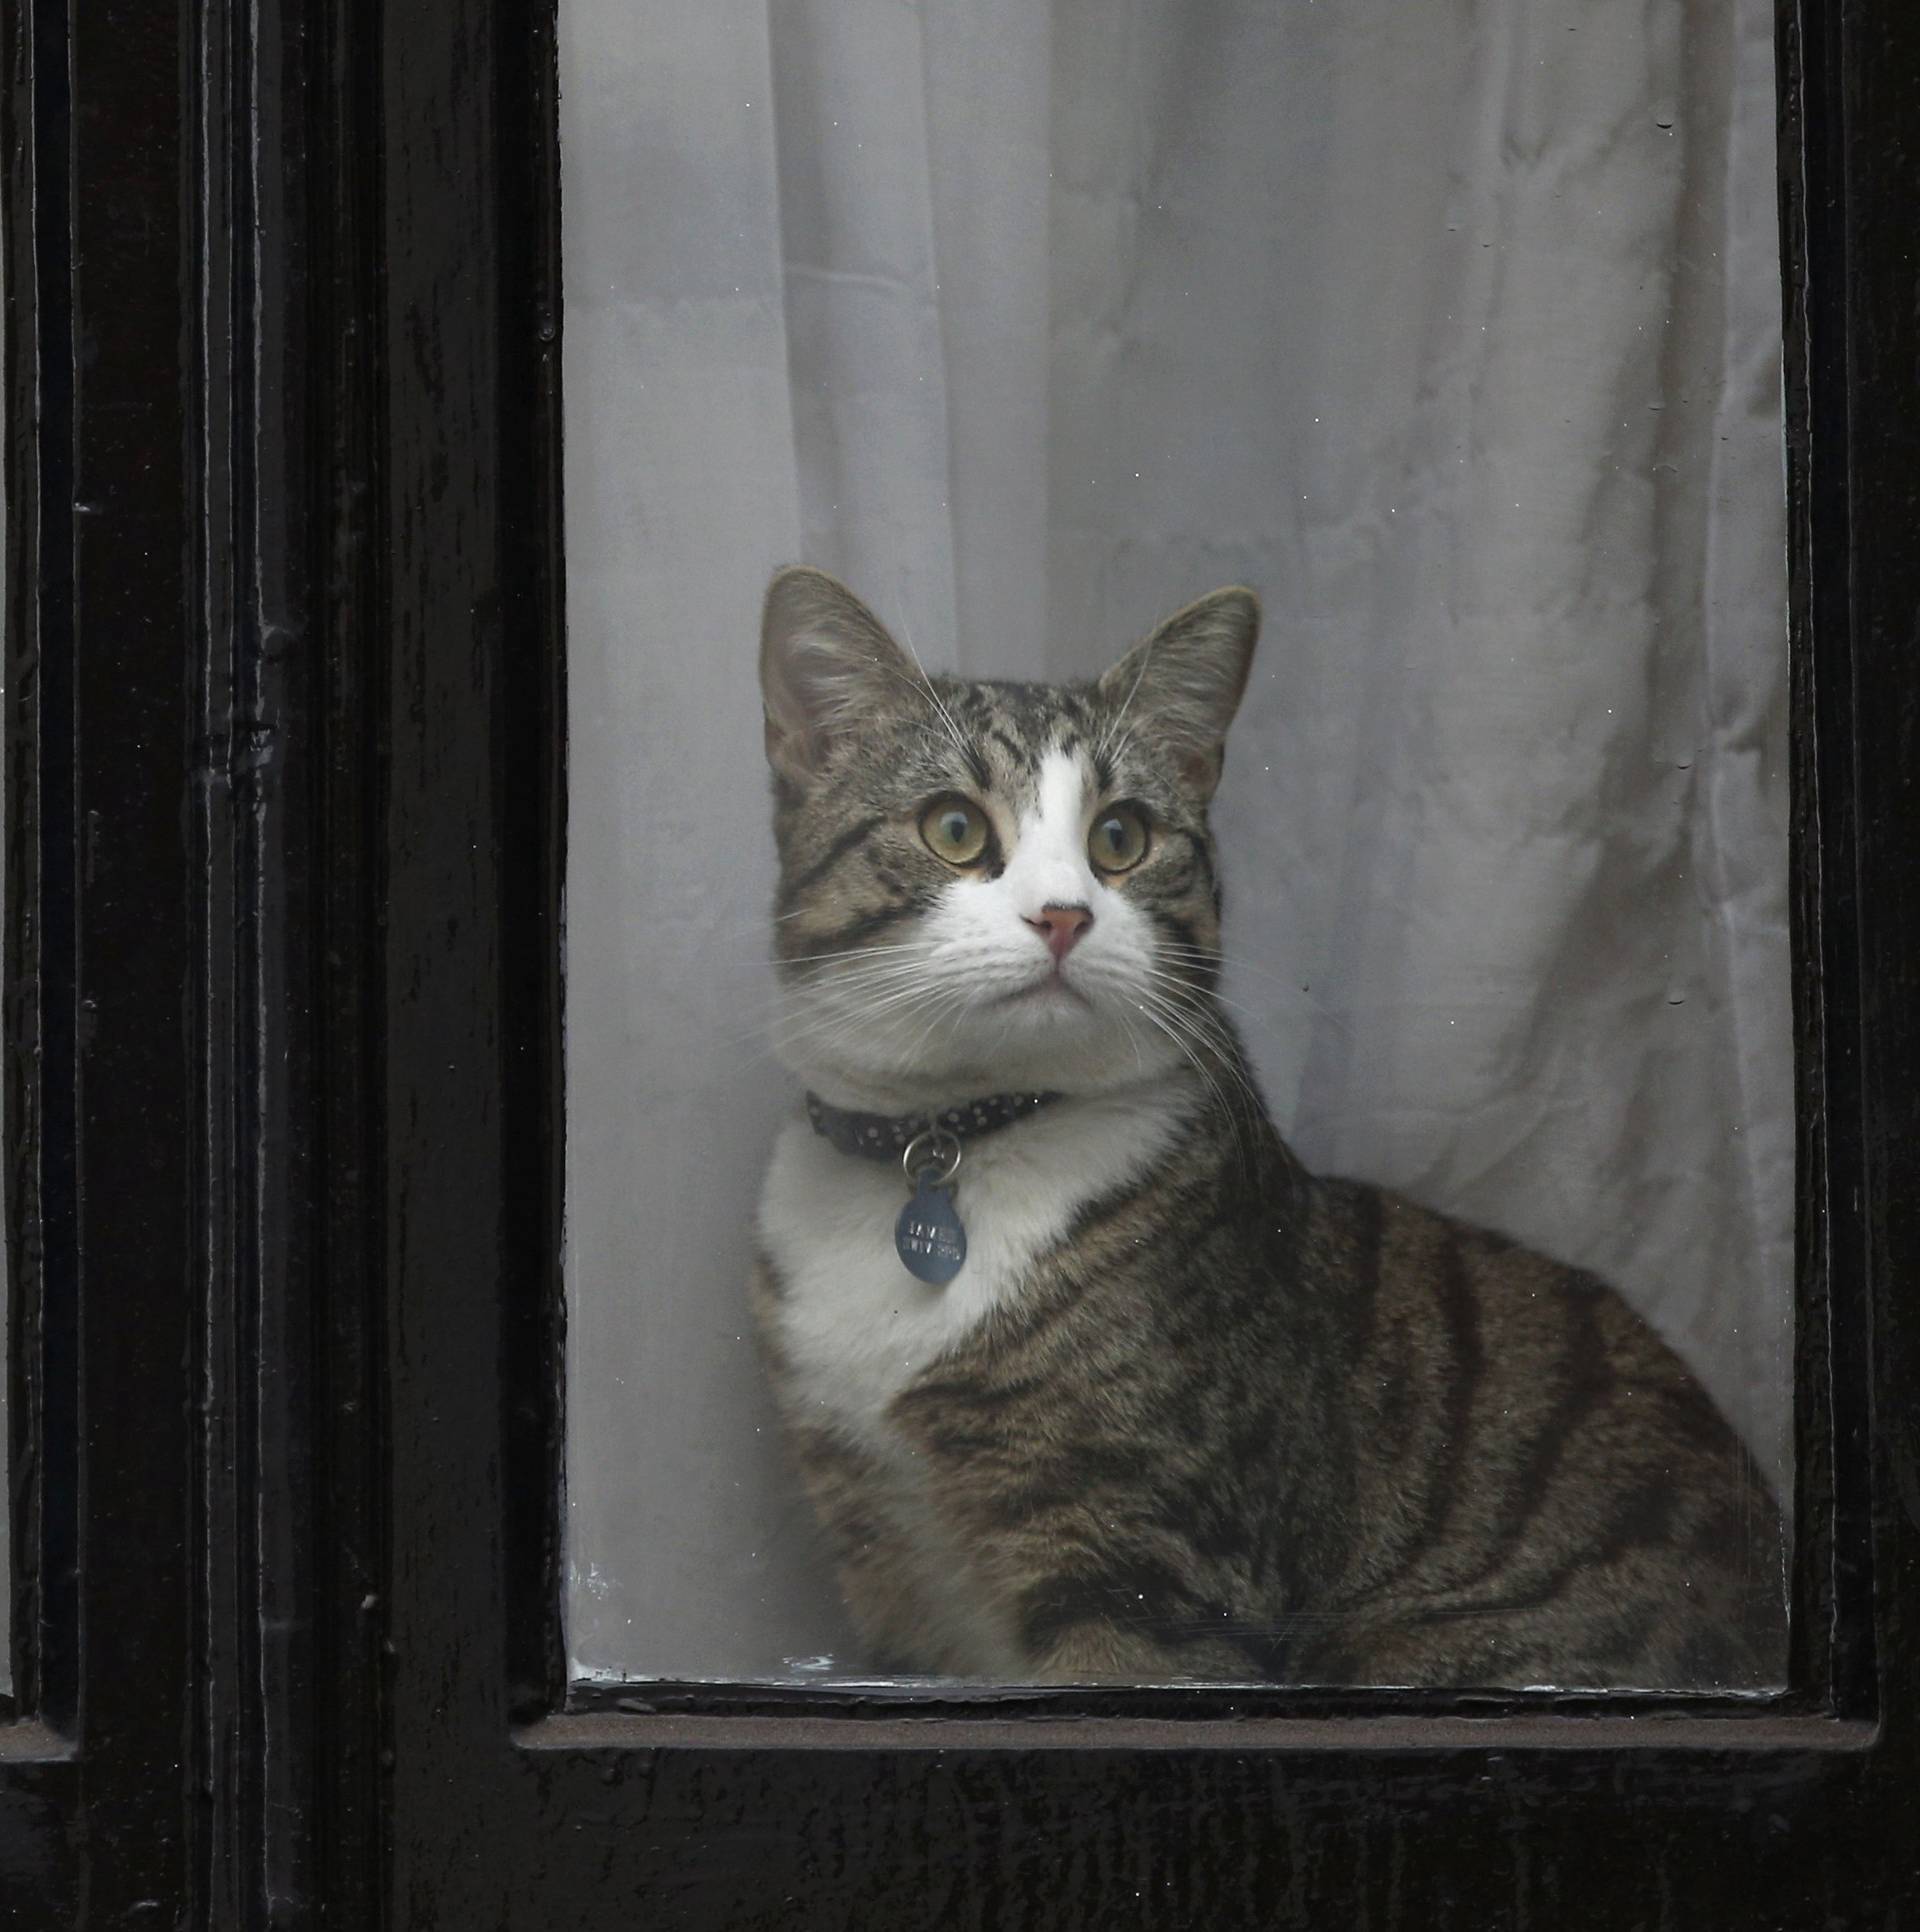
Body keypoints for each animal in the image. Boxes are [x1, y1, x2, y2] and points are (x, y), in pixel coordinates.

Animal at [745, 564, 1784, 1684]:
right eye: (953, 828)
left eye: (1121, 838)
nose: (1065, 915)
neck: (952, 1142)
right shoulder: (882, 1558)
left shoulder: (1151, 1568)